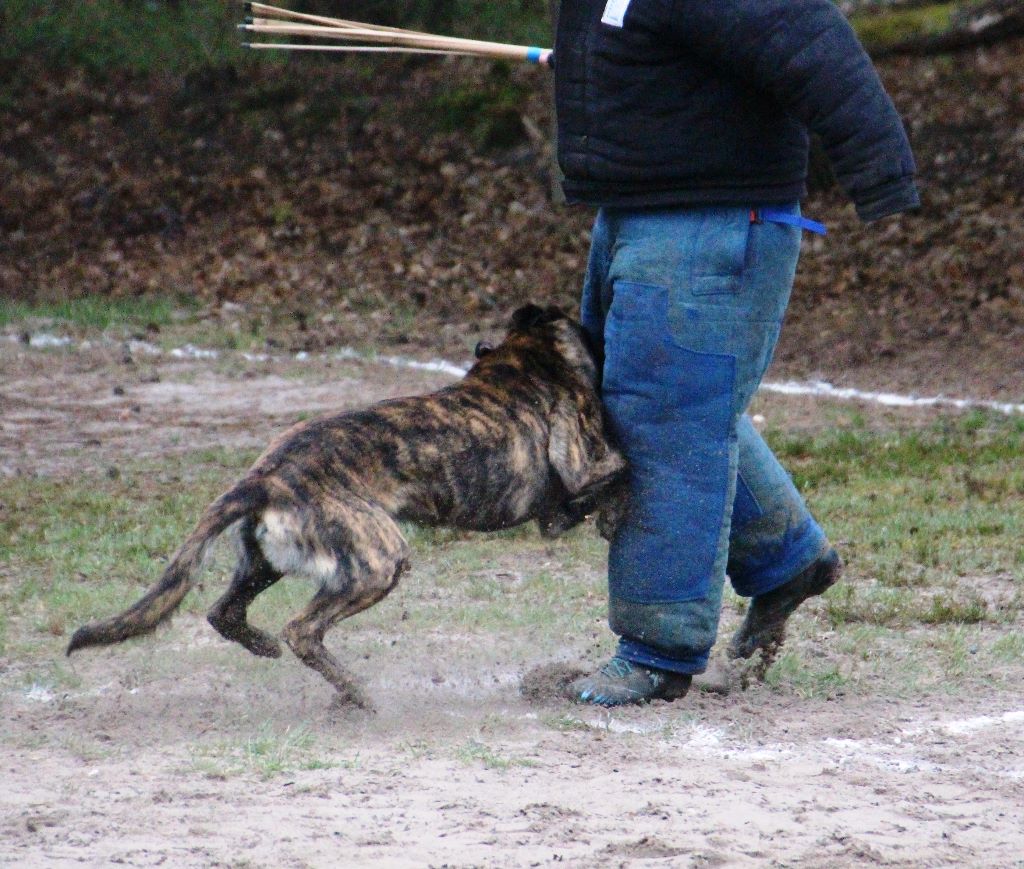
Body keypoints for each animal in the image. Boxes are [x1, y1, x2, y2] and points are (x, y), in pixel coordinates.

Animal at [68, 305, 626, 704]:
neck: (523, 362)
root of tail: (265, 476)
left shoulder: (553, 515)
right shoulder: (582, 464)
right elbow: (621, 473)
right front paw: (616, 512)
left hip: (266, 562)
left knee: (223, 613)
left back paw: (270, 649)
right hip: (378, 561)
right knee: (301, 630)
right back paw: (356, 693)